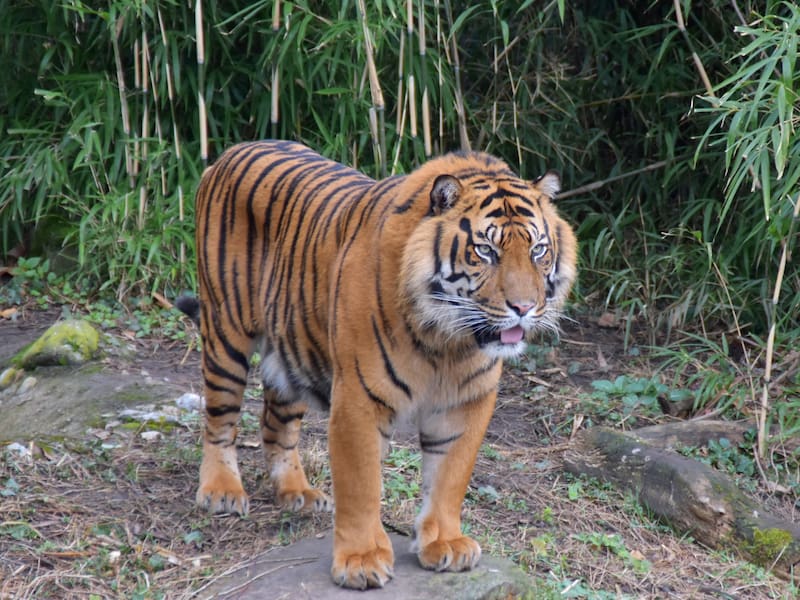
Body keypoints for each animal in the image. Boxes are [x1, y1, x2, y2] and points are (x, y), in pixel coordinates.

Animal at [175, 139, 577, 590]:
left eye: (538, 250)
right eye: (485, 251)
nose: (524, 308)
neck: (448, 342)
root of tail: (231, 152)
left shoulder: (466, 403)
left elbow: (450, 477)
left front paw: (444, 543)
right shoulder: (359, 398)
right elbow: (361, 485)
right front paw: (361, 560)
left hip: (292, 349)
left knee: (276, 424)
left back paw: (298, 493)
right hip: (226, 333)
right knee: (219, 418)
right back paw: (222, 491)